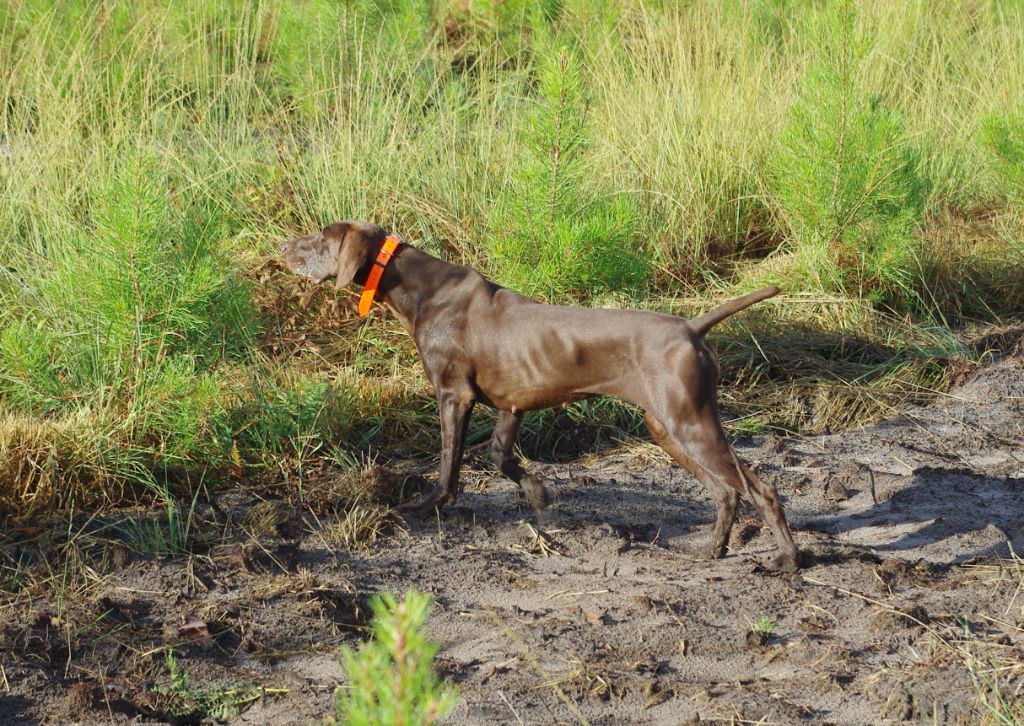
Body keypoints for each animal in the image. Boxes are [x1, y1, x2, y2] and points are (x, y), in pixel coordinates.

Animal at [278, 218, 798, 569]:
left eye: (319, 240)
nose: (282, 245)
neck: (421, 290)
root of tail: (692, 326)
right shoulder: (513, 404)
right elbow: (500, 457)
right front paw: (540, 495)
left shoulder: (454, 395)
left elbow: (448, 465)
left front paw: (428, 506)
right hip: (666, 428)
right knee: (726, 492)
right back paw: (713, 549)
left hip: (689, 423)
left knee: (762, 489)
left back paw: (789, 560)